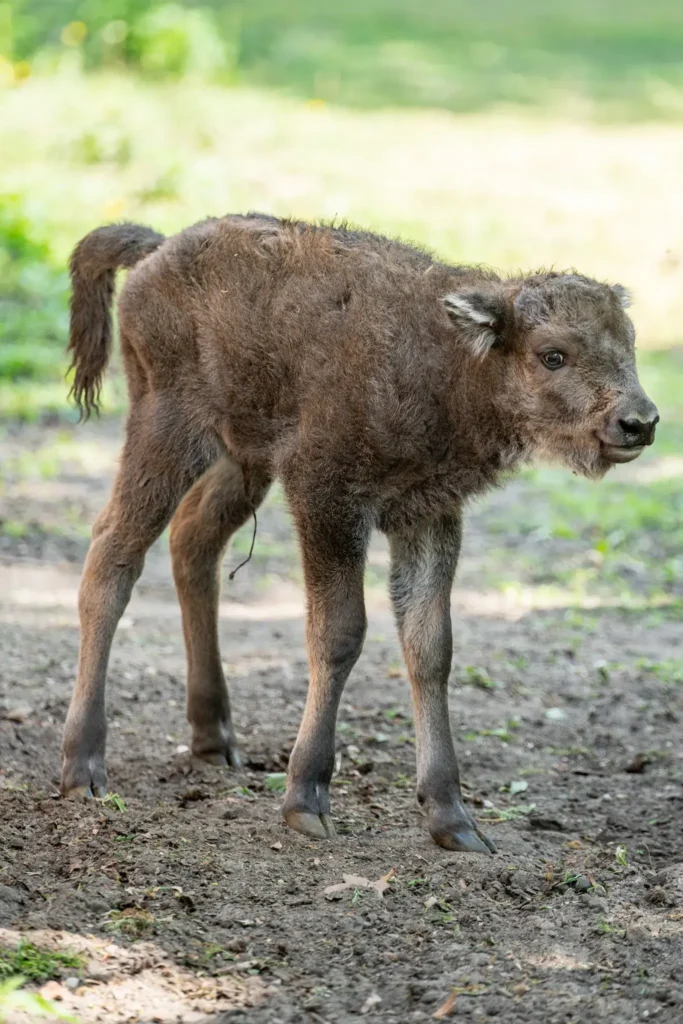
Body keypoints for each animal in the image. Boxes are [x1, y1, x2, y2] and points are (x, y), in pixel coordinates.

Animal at [61, 216, 659, 856]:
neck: (451, 360)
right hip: (168, 429)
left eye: (629, 342)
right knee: (112, 556)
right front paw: (306, 799)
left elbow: (430, 646)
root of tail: (157, 249)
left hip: (242, 459)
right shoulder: (327, 497)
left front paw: (453, 818)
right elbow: (340, 633)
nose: (640, 422)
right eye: (553, 355)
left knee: (193, 541)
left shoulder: (426, 515)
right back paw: (83, 768)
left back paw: (214, 740)